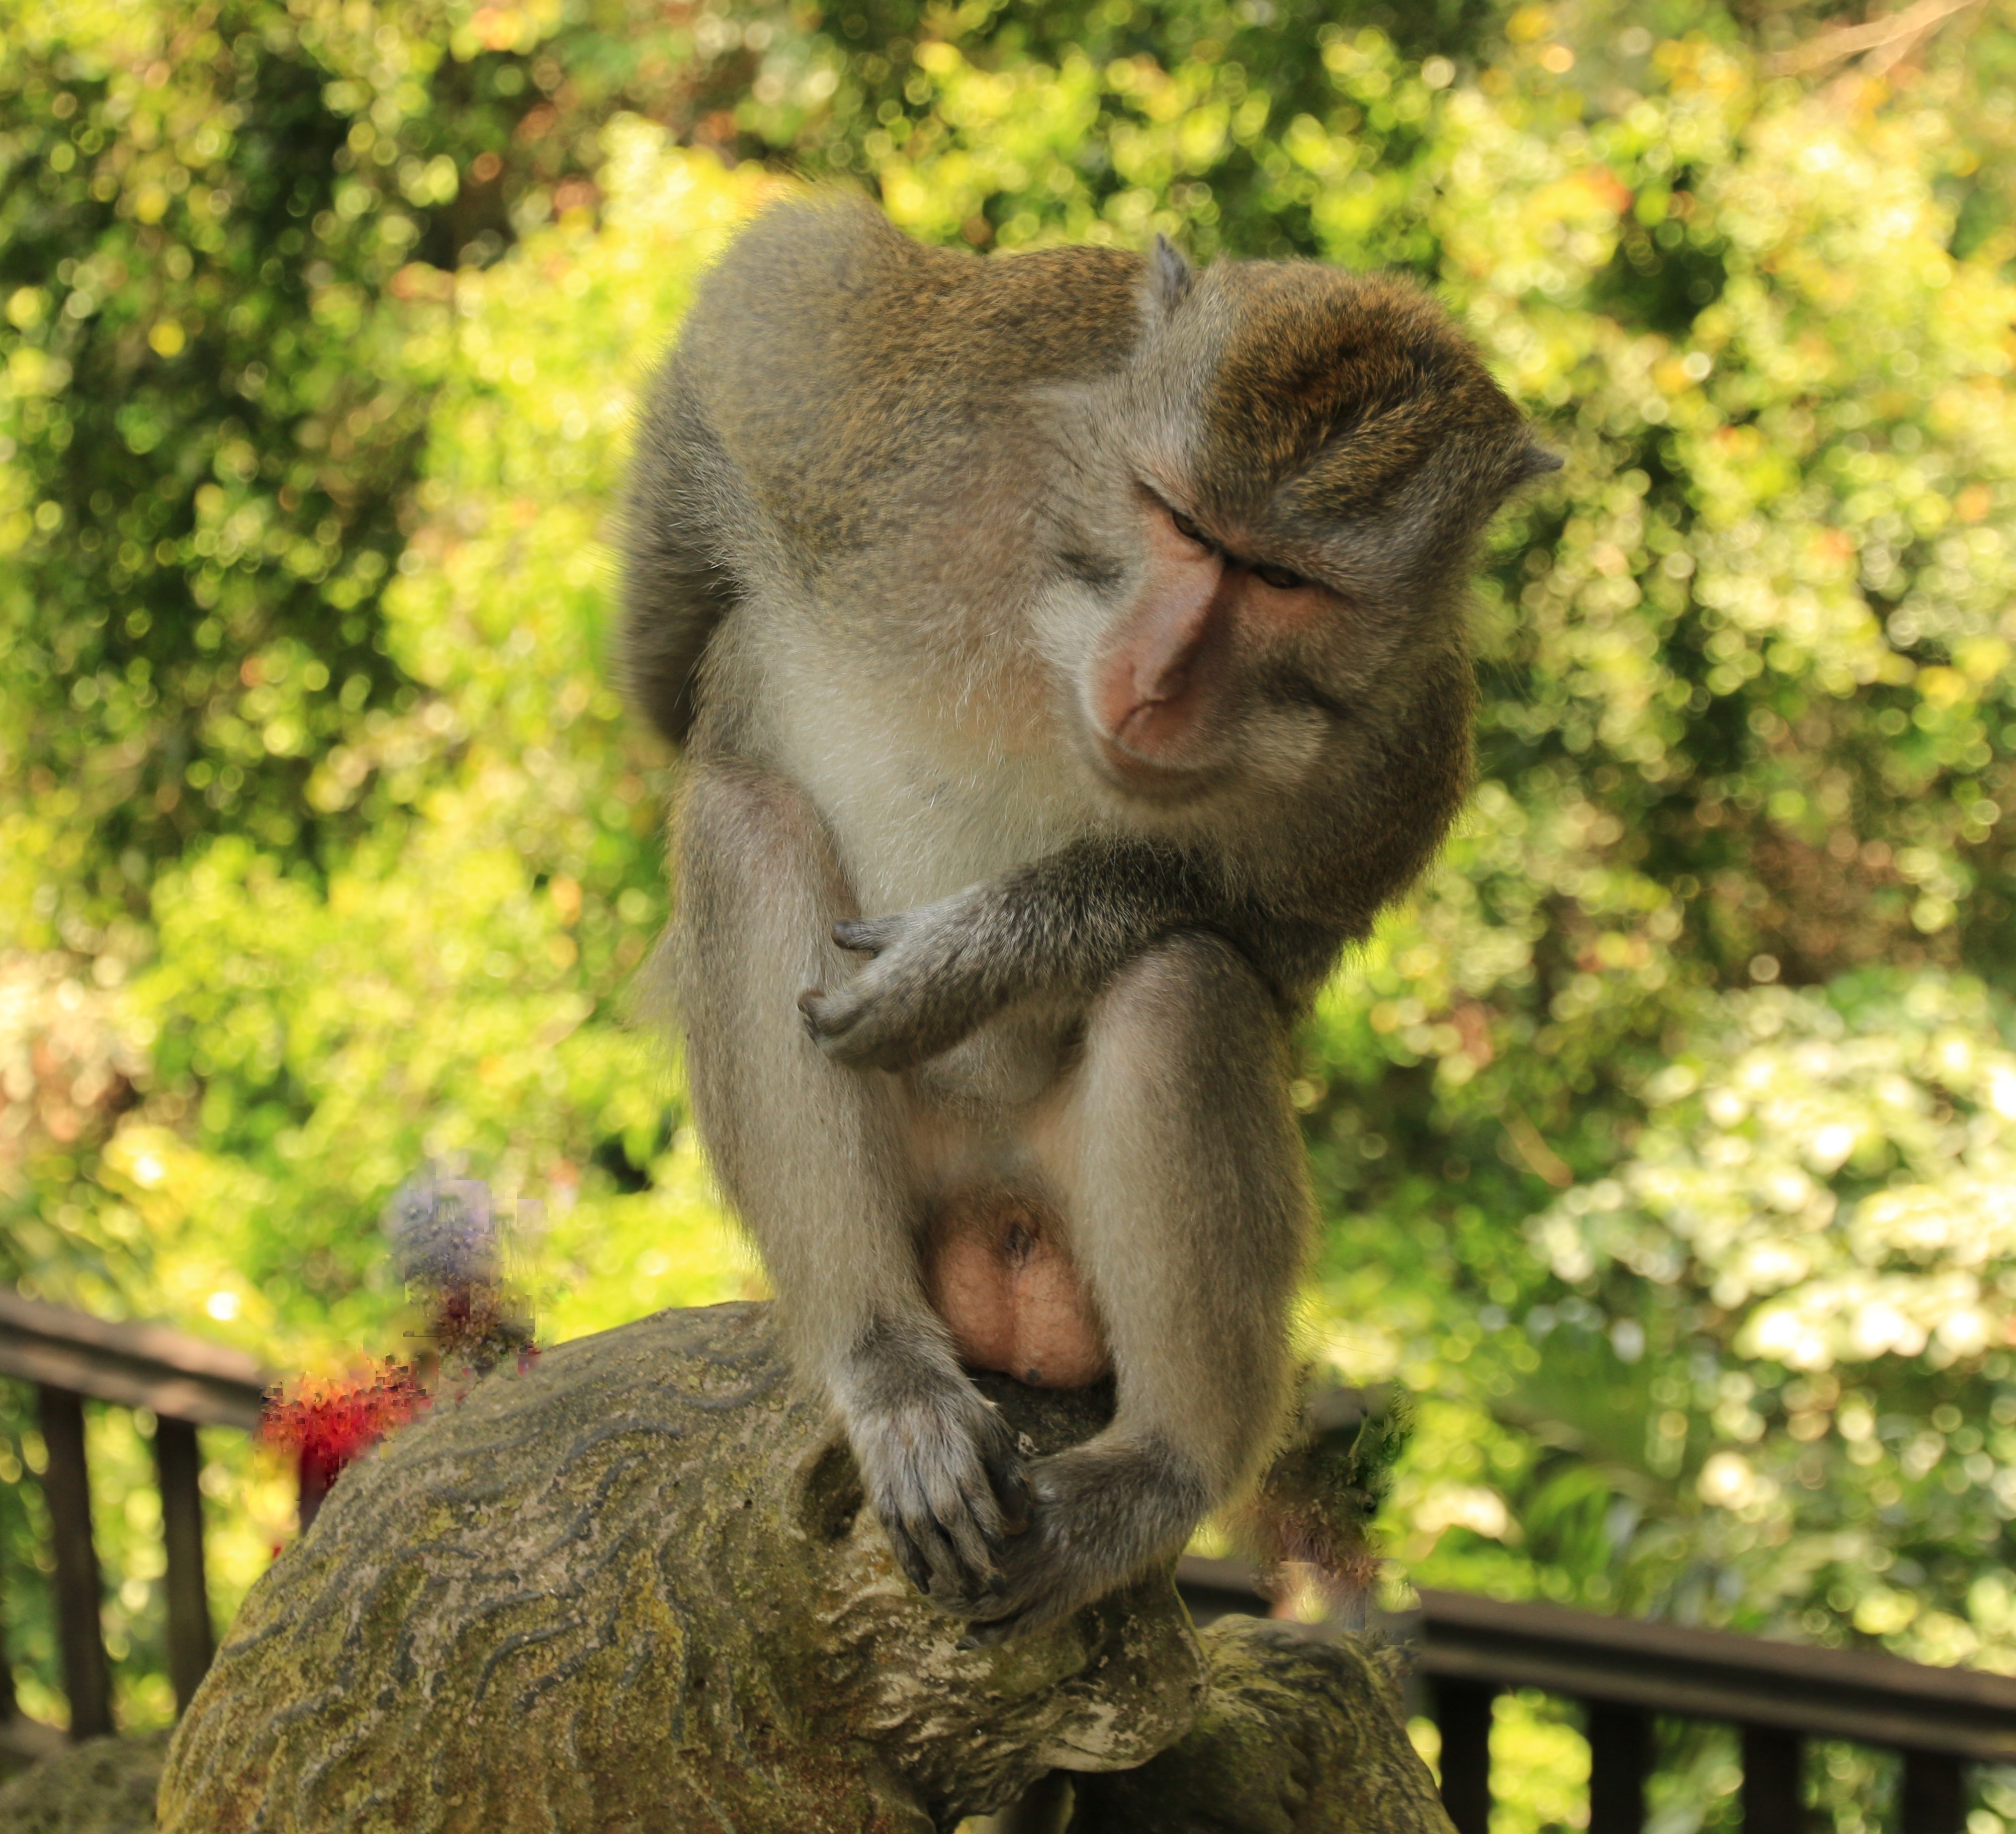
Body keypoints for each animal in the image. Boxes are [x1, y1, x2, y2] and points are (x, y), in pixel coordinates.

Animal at [621, 194, 1555, 1639]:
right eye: (1177, 520)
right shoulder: (896, 419)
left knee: (1183, 988)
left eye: (1283, 580)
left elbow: (1275, 931)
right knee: (743, 822)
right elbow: (770, 301)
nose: (1158, 676)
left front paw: (995, 946)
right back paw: (890, 1375)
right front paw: (674, 659)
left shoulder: (1407, 736)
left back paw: (1161, 1470)